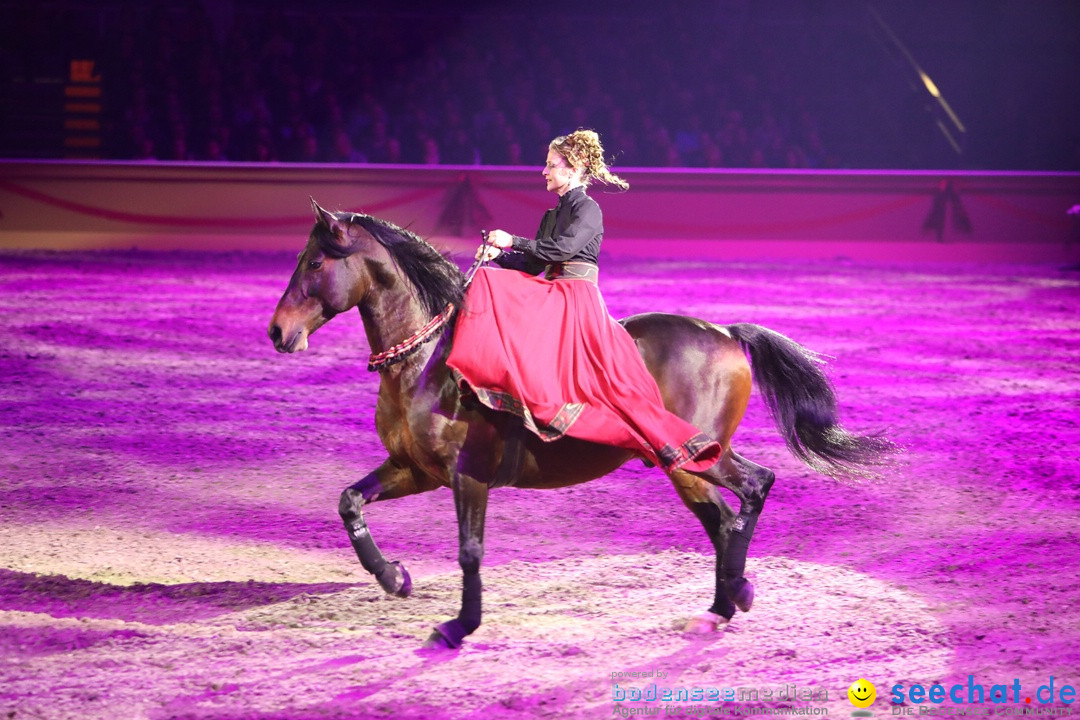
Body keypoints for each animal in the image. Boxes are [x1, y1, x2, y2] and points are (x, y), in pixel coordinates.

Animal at [265, 199, 889, 651]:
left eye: (315, 263)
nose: (277, 332)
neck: (427, 364)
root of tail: (727, 333)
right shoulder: (413, 469)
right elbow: (349, 501)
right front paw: (393, 577)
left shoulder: (469, 475)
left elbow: (470, 550)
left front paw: (458, 626)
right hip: (682, 466)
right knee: (720, 520)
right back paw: (719, 608)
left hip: (697, 453)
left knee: (756, 487)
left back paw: (738, 588)